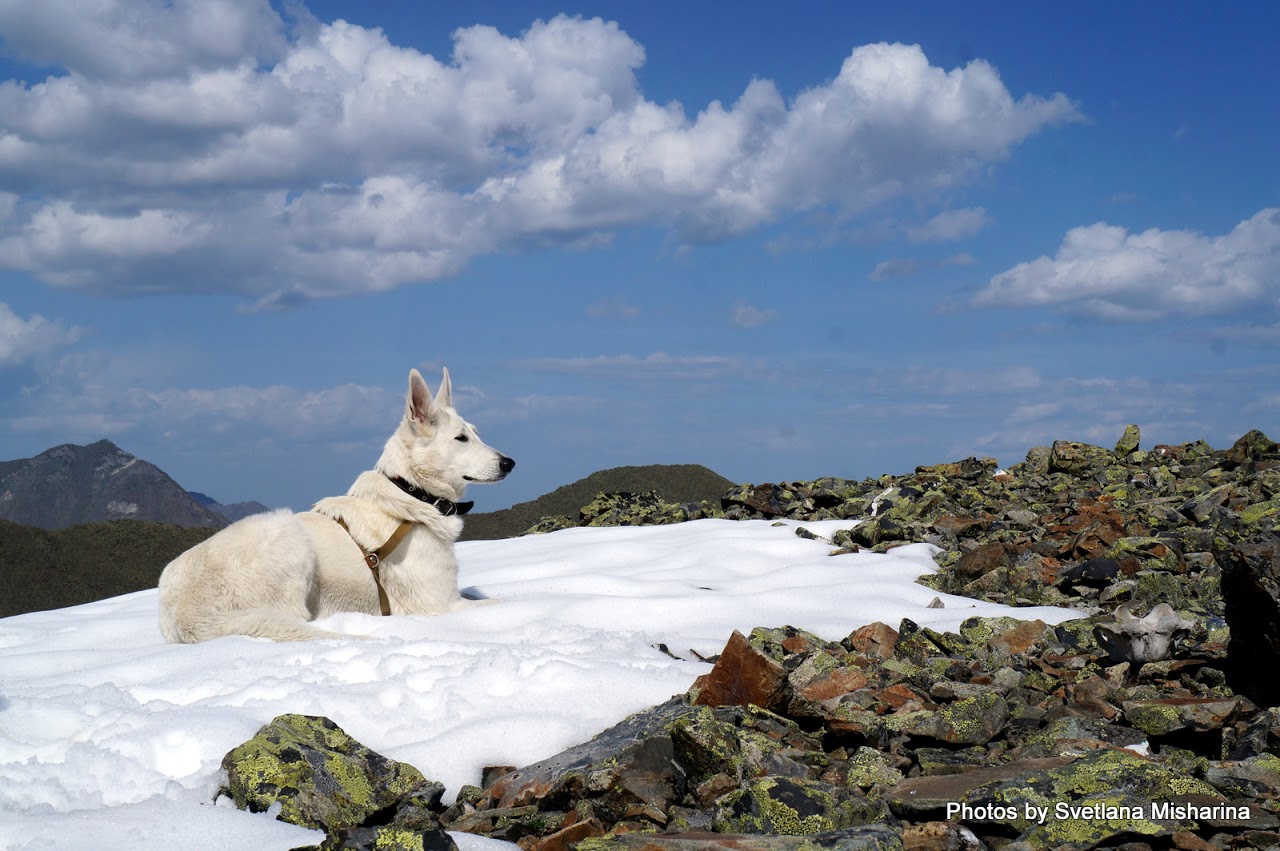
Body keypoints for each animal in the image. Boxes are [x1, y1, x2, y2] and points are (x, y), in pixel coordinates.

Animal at [157, 368, 514, 643]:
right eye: (461, 439)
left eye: (476, 433)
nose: (510, 463)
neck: (412, 493)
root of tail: (185, 615)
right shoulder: (439, 604)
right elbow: (501, 601)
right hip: (287, 536)